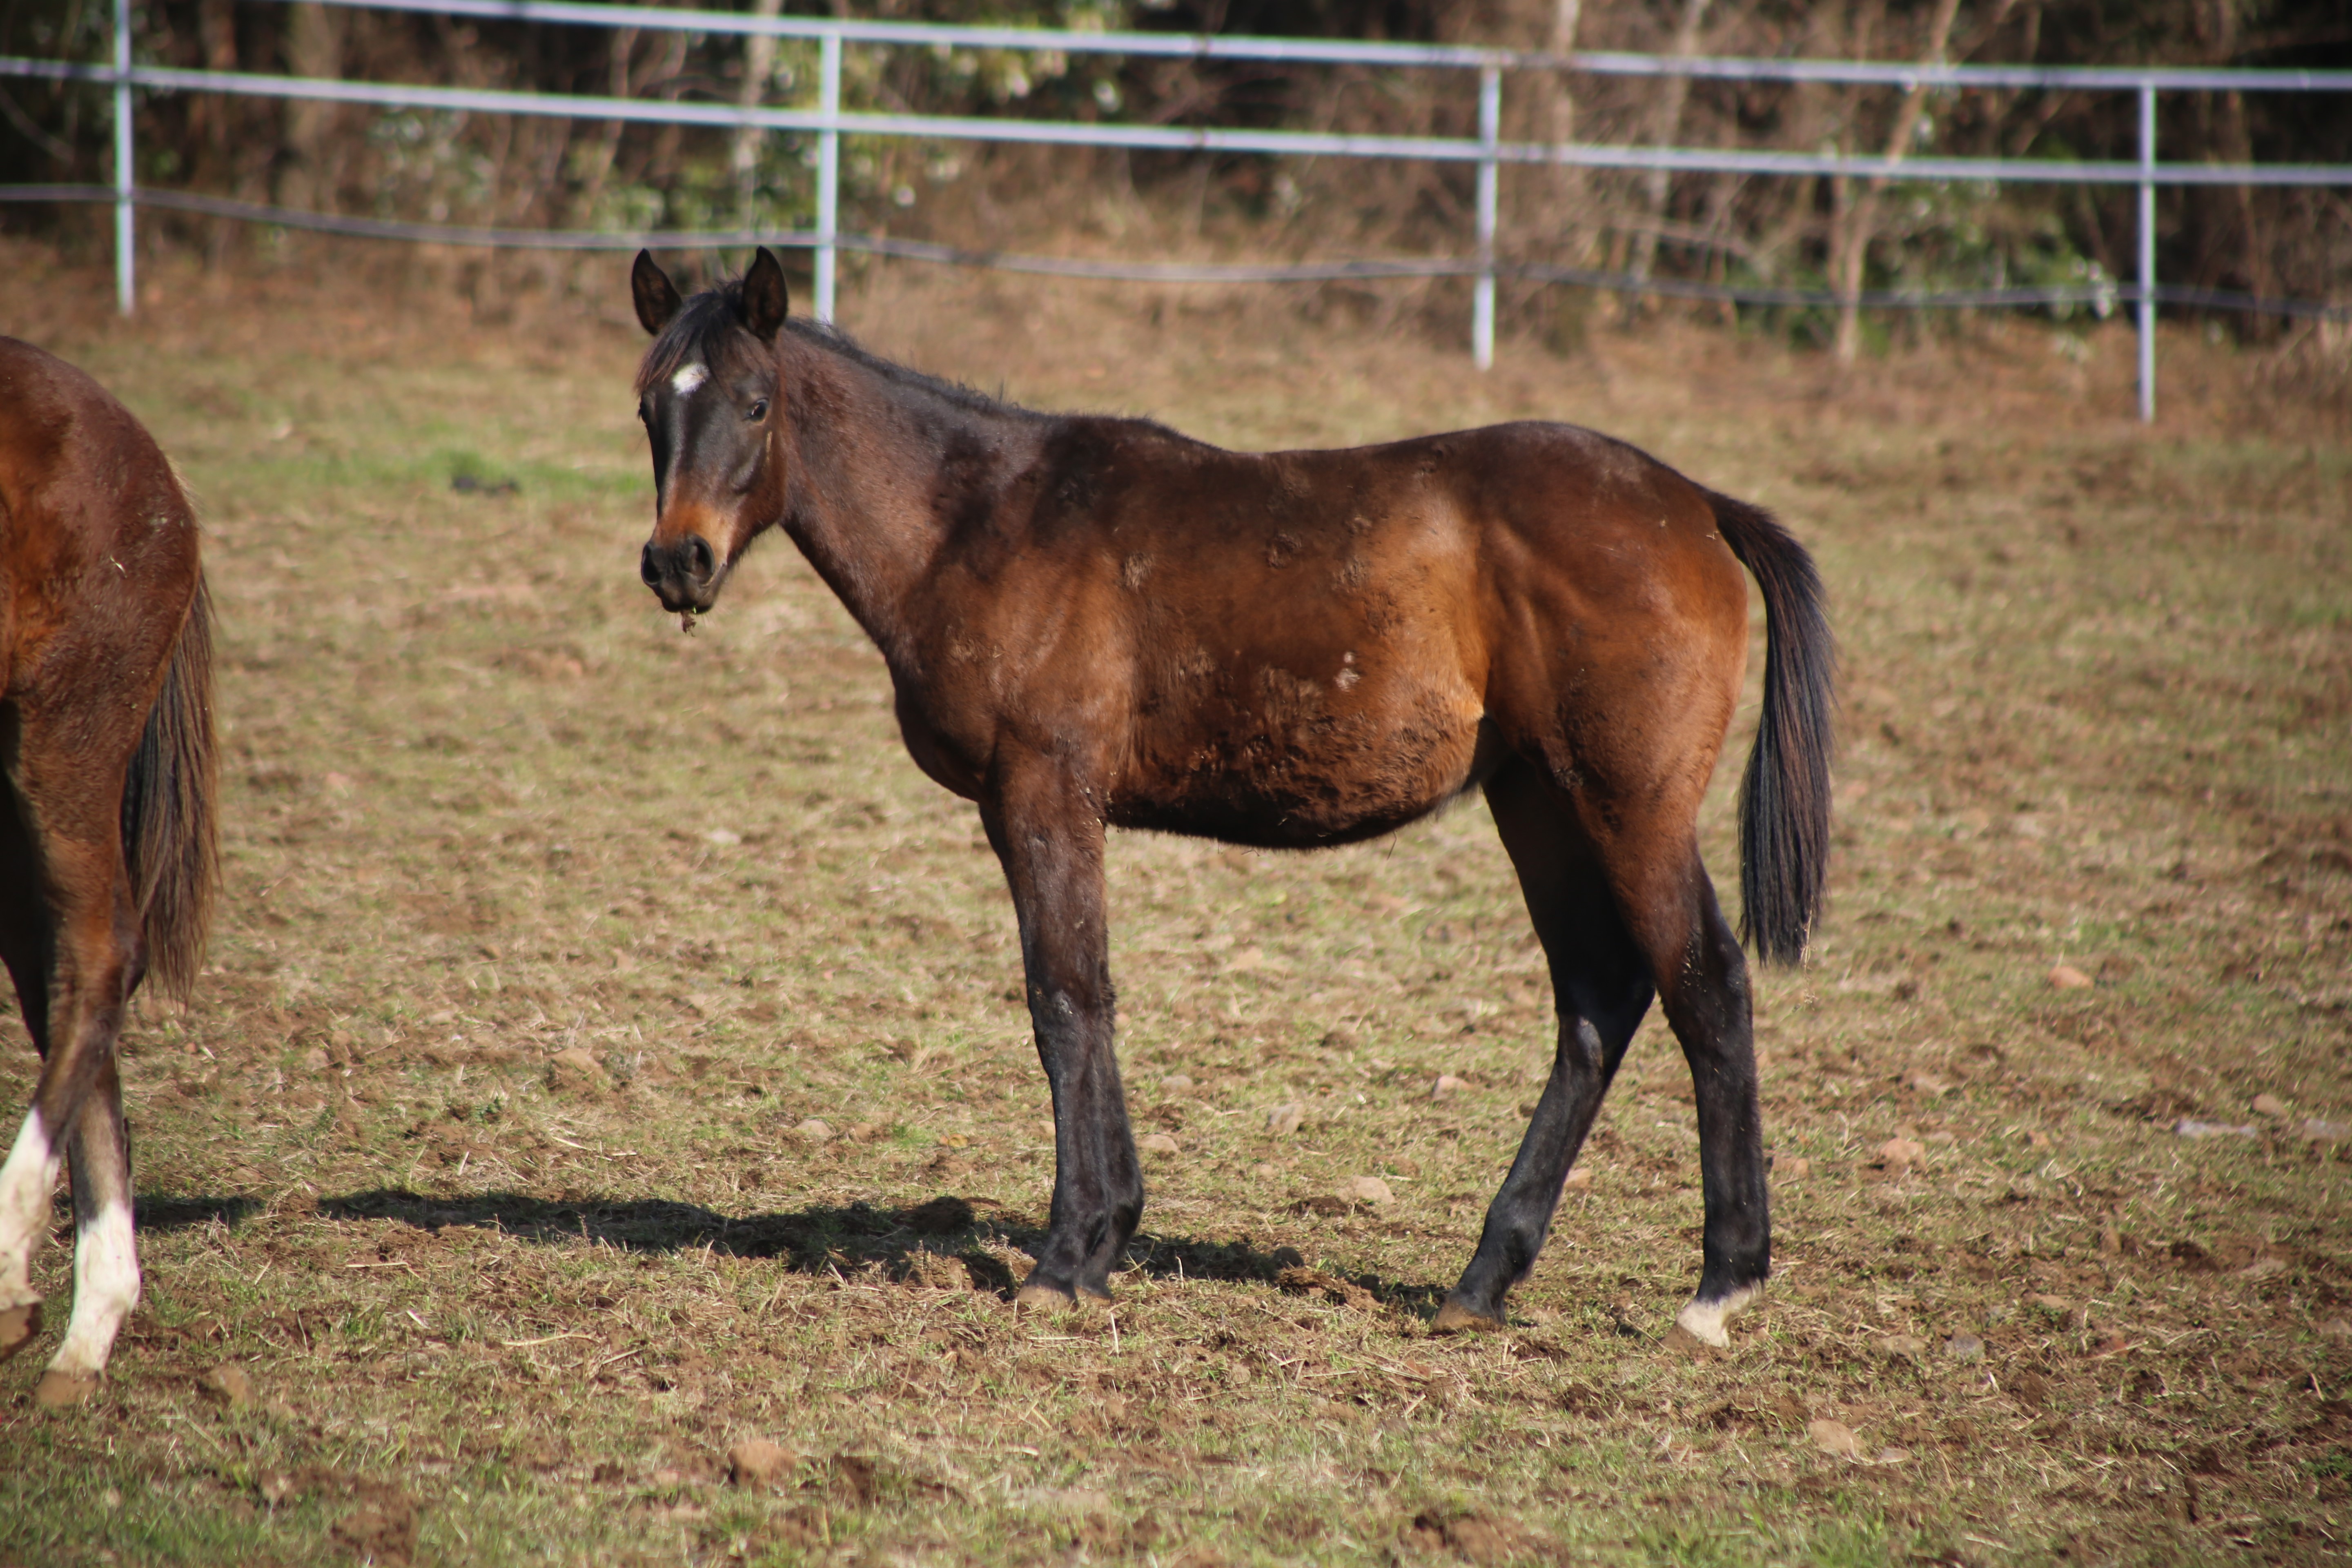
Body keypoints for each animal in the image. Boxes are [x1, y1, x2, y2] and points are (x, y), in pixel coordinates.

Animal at [630, 252, 1834, 1345]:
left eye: (754, 402)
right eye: (649, 405)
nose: (677, 562)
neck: (982, 521)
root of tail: (1695, 506)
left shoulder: (1039, 795)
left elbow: (1064, 1001)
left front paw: (1065, 1259)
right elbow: (1093, 997)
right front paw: (1106, 1241)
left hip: (1628, 812)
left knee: (1704, 986)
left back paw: (1720, 1285)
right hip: (1538, 802)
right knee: (1596, 1000)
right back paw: (1483, 1278)